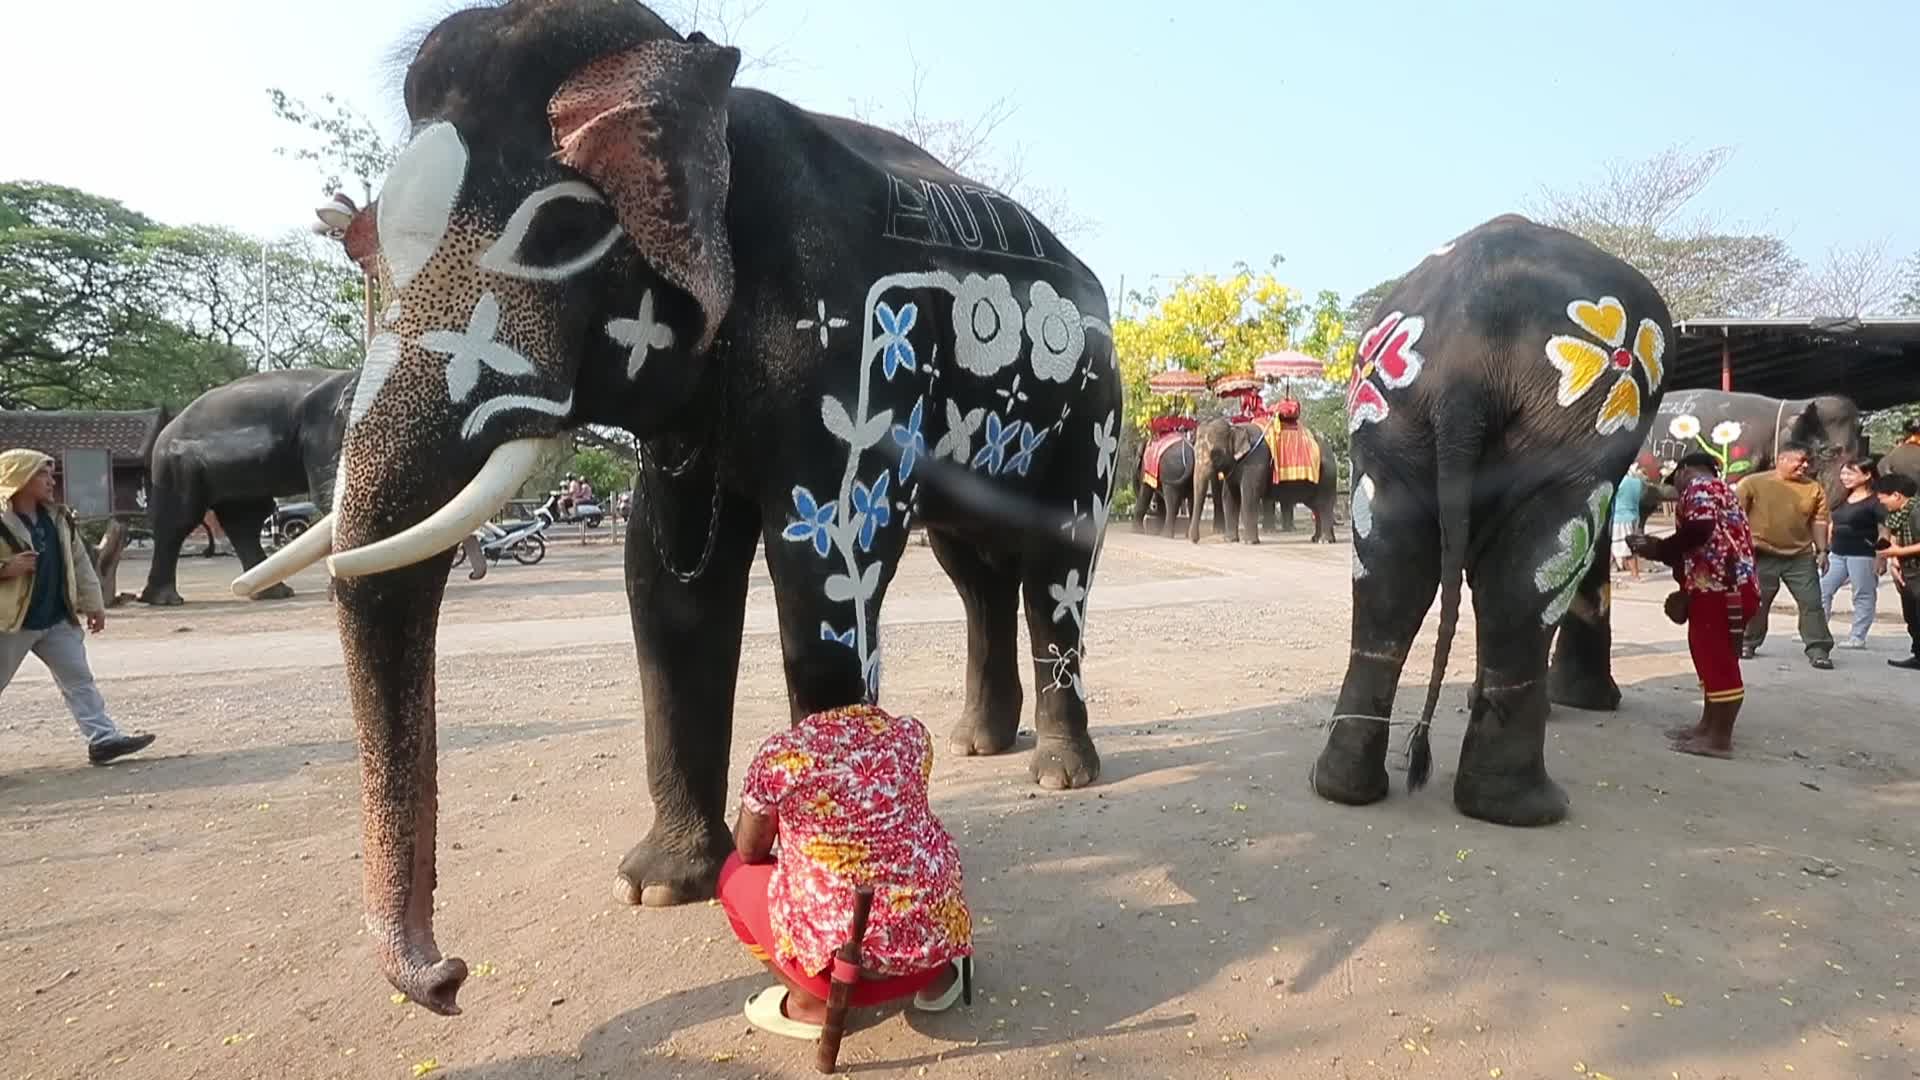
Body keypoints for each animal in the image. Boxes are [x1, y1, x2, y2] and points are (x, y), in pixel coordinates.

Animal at [139, 367, 357, 605]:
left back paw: (273, 593)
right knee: (179, 521)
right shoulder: (325, 431)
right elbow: (331, 492)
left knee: (245, 521)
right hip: (174, 467)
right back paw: (165, 600)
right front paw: (339, 597)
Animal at [233, 0, 1119, 1015]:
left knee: (1056, 563)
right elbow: (665, 583)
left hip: (1091, 415)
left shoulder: (856, 351)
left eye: (559, 232)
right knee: (973, 571)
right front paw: (658, 885)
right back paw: (981, 745)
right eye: (365, 249)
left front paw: (800, 893)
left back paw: (1059, 774)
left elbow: (829, 558)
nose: (452, 980)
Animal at [1190, 417, 1338, 544]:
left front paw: (1249, 542)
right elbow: (1230, 497)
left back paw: (1324, 541)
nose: (1194, 541)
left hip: (1326, 477)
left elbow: (1249, 495)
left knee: (1324, 505)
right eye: (1194, 450)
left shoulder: (1255, 461)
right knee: (1316, 506)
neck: (1235, 427)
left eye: (1216, 454)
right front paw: (1230, 540)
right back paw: (1317, 539)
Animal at [1310, 213, 1673, 828]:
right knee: (1524, 578)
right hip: (1570, 423)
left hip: (1388, 417)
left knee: (1389, 573)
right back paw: (1527, 808)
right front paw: (1589, 704)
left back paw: (1341, 786)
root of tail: (1468, 349)